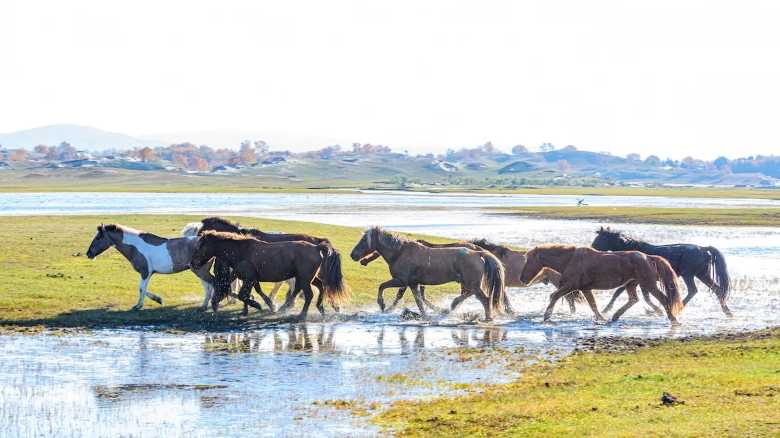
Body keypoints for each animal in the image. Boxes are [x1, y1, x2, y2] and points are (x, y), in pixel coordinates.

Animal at [85, 223, 219, 311]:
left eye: (98, 237)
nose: (89, 253)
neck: (136, 246)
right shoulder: (148, 273)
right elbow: (144, 289)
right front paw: (158, 300)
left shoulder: (145, 272)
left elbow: (141, 289)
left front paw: (139, 306)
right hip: (200, 271)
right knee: (208, 286)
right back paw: (205, 305)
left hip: (200, 271)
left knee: (212, 282)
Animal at [188, 217, 346, 315]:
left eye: (200, 245)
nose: (192, 263)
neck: (240, 249)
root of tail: (317, 245)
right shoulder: (251, 277)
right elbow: (254, 291)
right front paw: (264, 305)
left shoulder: (249, 277)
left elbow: (244, 294)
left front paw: (259, 306)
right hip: (308, 277)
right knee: (319, 286)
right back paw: (321, 308)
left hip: (304, 278)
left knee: (308, 292)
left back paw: (301, 312)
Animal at [350, 227, 506, 320]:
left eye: (364, 240)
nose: (353, 255)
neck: (400, 252)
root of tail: (479, 253)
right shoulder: (413, 284)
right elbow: (419, 301)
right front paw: (425, 317)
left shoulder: (401, 281)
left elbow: (382, 286)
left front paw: (382, 305)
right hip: (468, 283)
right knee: (471, 296)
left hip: (472, 284)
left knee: (484, 299)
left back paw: (485, 317)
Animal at [519, 244, 684, 325]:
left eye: (528, 260)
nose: (522, 279)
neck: (570, 260)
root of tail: (648, 257)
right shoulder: (585, 288)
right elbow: (593, 305)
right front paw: (601, 318)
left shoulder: (571, 286)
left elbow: (554, 296)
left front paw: (546, 317)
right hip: (632, 284)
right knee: (633, 299)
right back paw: (615, 316)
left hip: (648, 284)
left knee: (663, 299)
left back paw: (673, 319)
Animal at [592, 227, 732, 316]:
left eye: (598, 239)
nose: (591, 249)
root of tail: (703, 249)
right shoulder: (636, 281)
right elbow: (643, 297)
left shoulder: (635, 280)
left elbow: (620, 293)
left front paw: (605, 310)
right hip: (702, 274)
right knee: (717, 290)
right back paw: (727, 312)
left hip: (689, 275)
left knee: (693, 291)